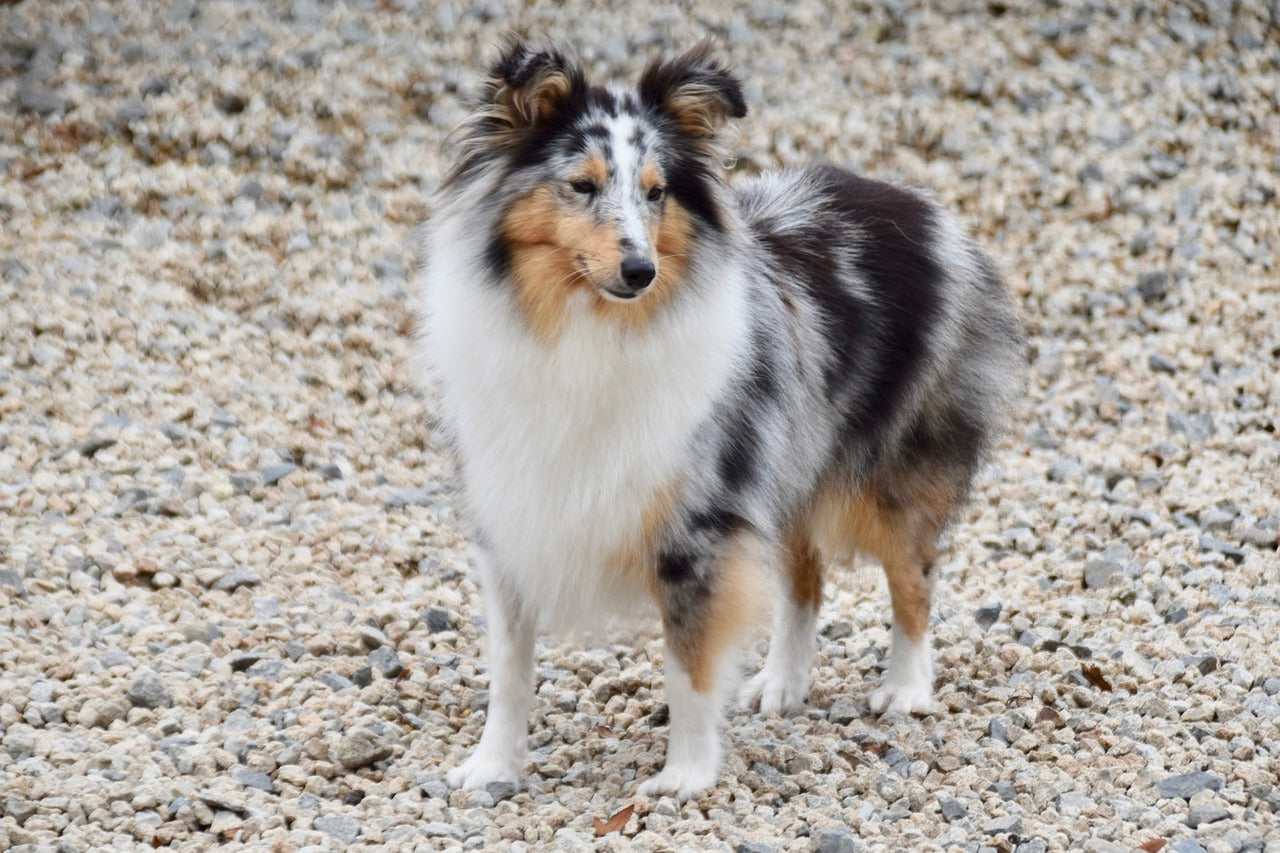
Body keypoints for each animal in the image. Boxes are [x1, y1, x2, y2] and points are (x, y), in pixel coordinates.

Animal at [414, 41, 1024, 799]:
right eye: (581, 185)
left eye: (657, 192)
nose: (640, 270)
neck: (584, 330)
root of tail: (915, 202)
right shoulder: (510, 516)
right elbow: (508, 669)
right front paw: (492, 767)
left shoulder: (697, 528)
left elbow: (689, 667)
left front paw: (685, 775)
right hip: (786, 461)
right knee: (805, 579)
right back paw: (782, 682)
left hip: (887, 474)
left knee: (912, 574)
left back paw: (906, 688)